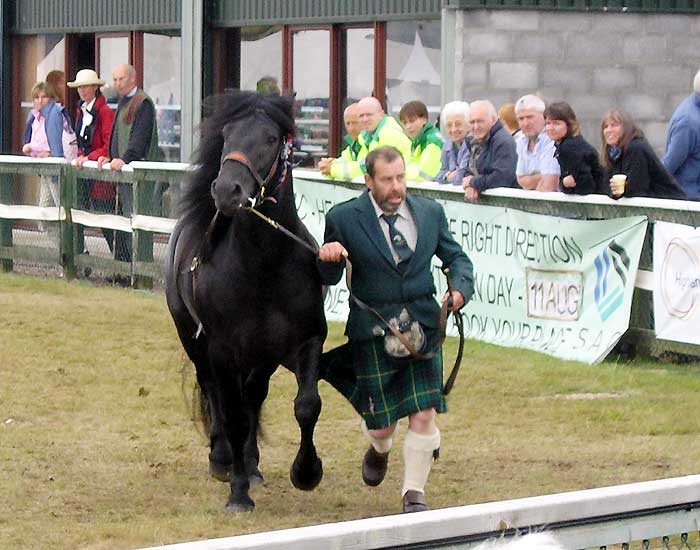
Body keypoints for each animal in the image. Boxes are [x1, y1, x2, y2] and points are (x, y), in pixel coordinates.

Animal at [165, 89, 326, 512]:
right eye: (227, 134)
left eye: (271, 138)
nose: (227, 191)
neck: (264, 266)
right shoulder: (222, 349)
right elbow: (233, 415)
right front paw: (238, 493)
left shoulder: (304, 340)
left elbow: (306, 404)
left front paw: (306, 472)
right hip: (195, 341)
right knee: (215, 393)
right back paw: (224, 459)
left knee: (253, 397)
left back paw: (251, 464)